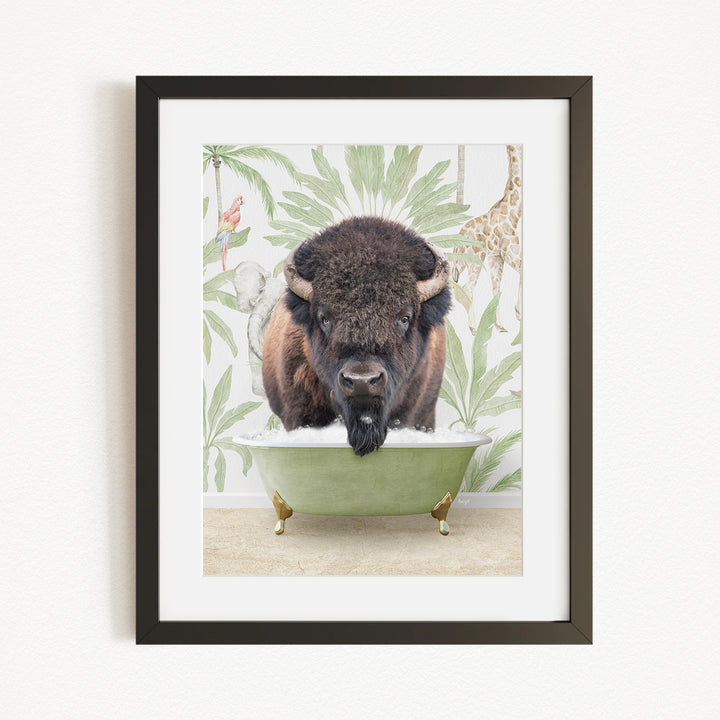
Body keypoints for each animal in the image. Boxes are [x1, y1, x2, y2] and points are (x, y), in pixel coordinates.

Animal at [451, 145, 522, 332]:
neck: (514, 212)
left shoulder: (496, 258)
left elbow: (496, 290)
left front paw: (500, 324)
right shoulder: (511, 253)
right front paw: (518, 313)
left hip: (464, 263)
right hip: (475, 260)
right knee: (468, 288)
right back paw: (473, 328)